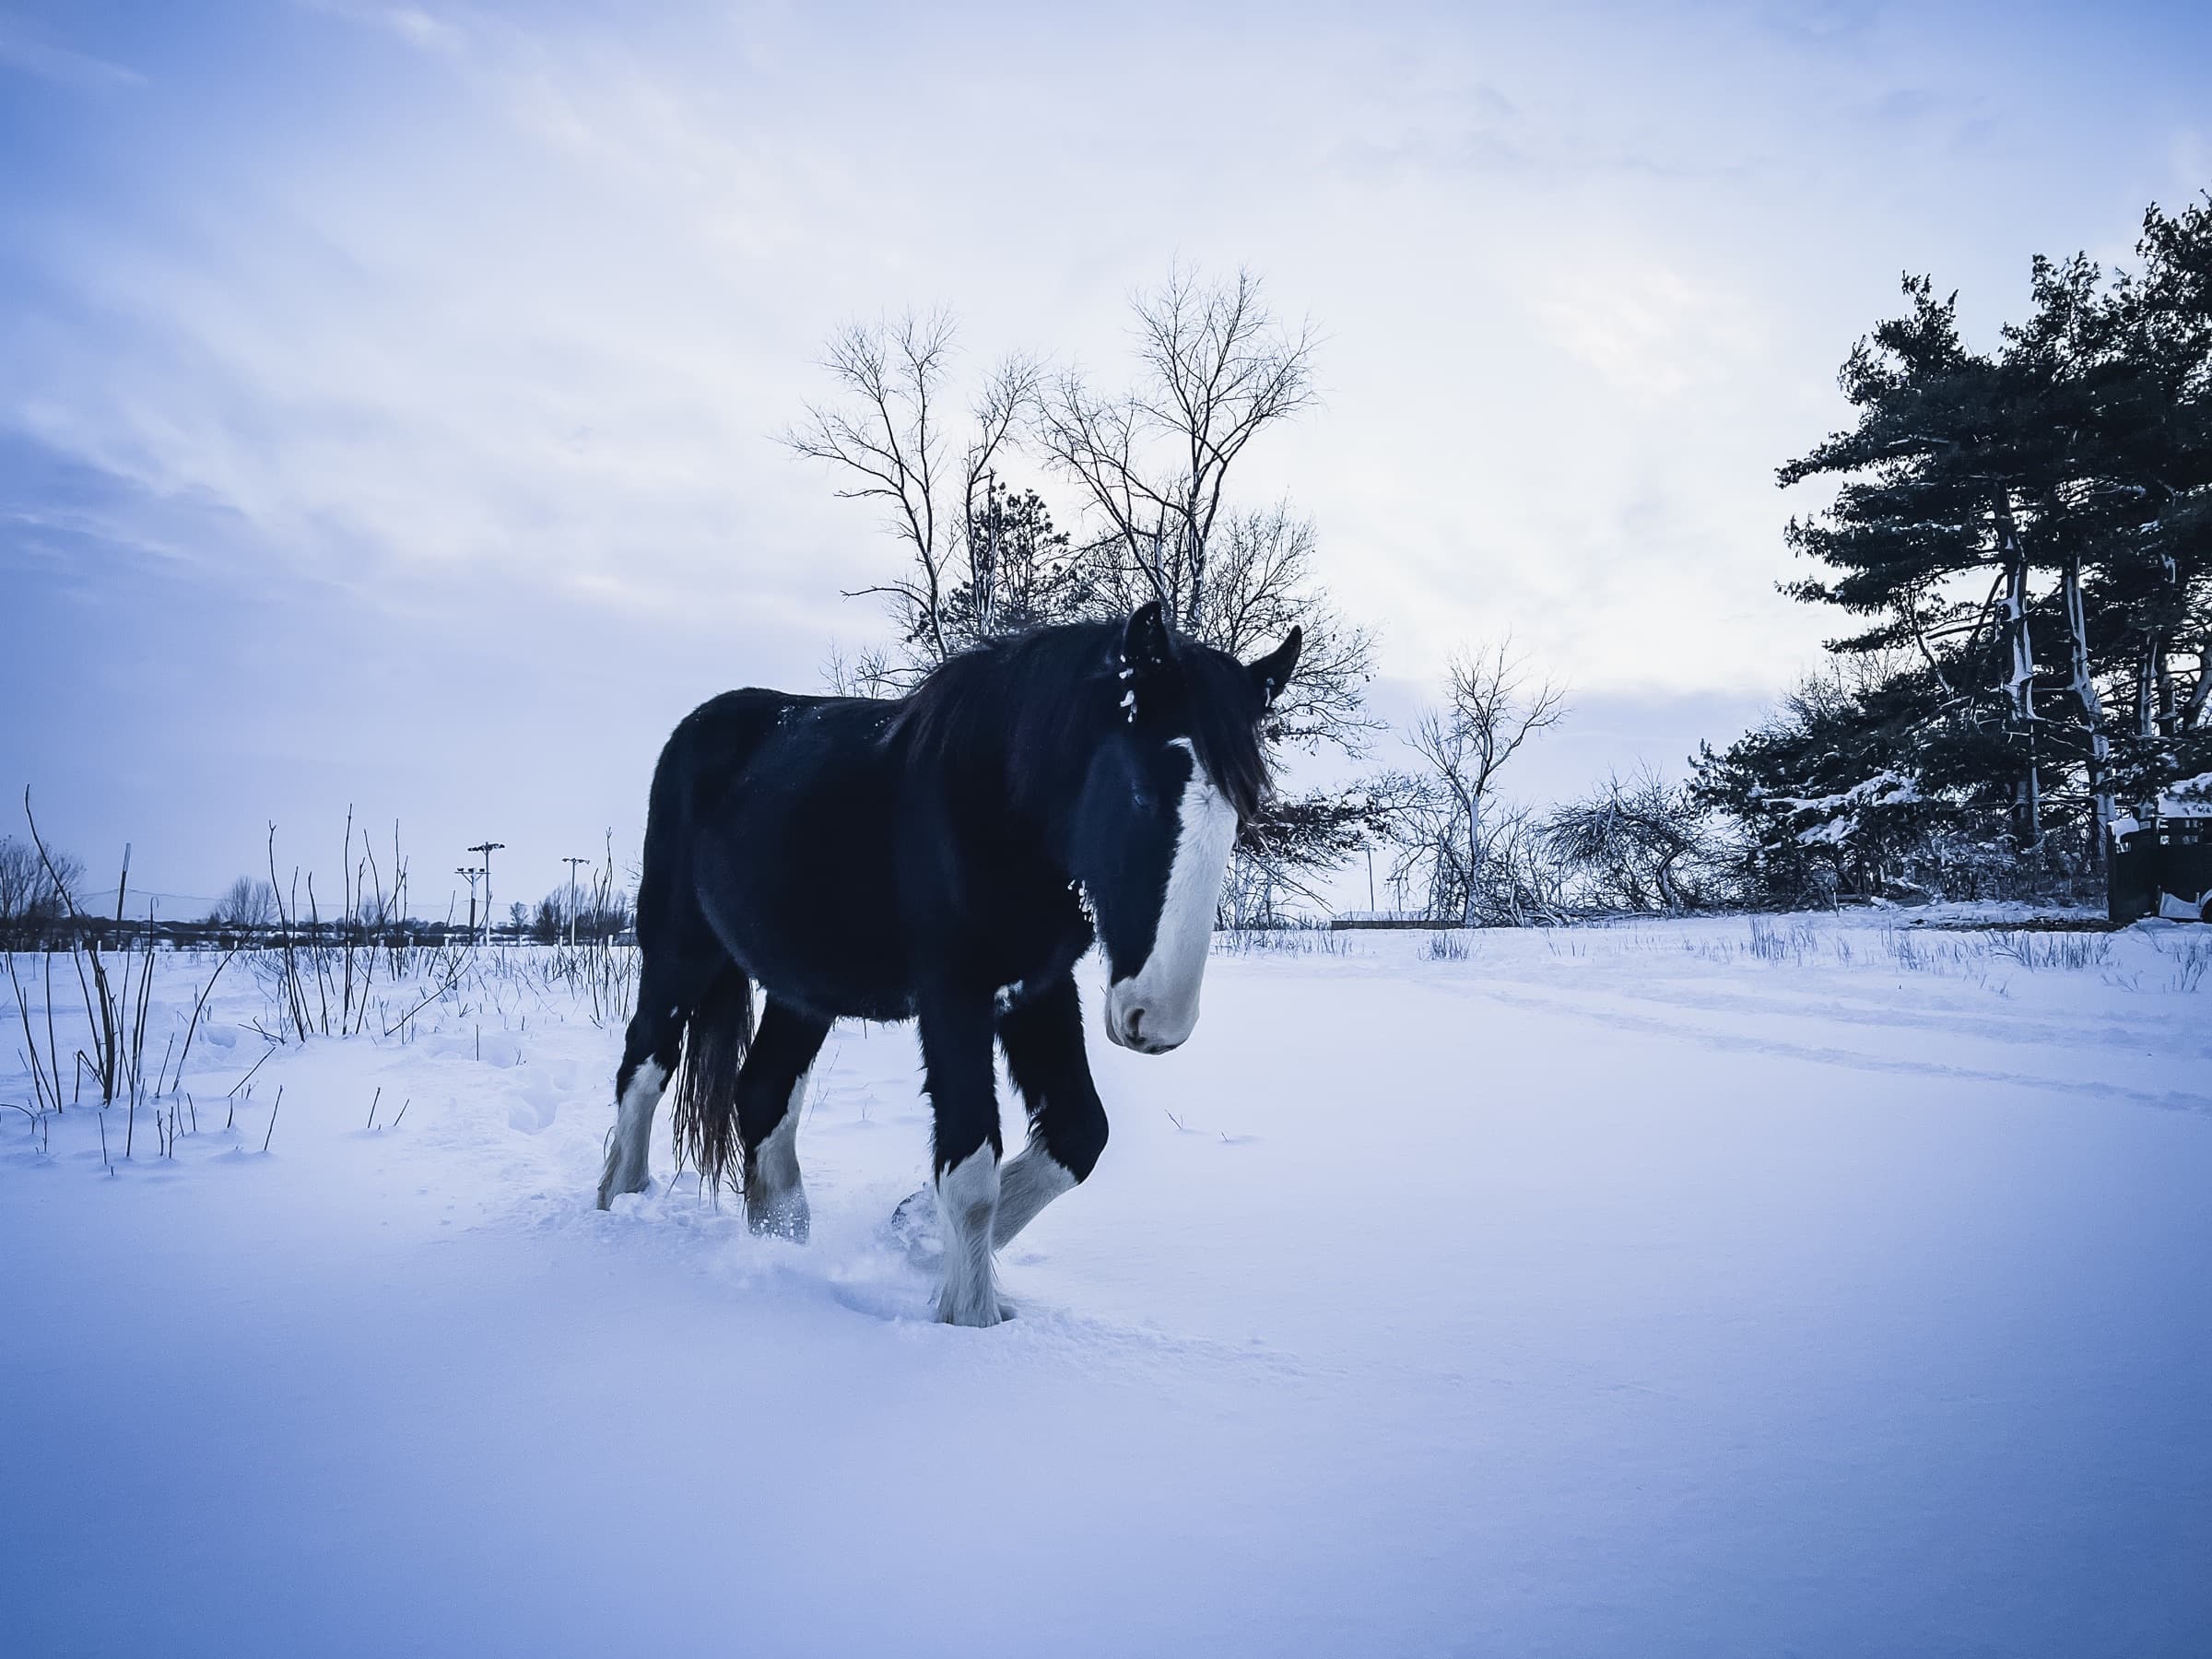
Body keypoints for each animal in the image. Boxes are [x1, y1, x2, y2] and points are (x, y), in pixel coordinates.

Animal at [596, 600, 1301, 1326]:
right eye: (1140, 792)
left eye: (1244, 811)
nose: (1157, 1019)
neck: (997, 807)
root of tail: (701, 725)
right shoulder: (953, 997)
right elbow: (970, 1174)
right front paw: (970, 1320)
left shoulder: (1036, 989)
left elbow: (1080, 1135)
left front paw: (911, 1232)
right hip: (680, 952)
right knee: (644, 1068)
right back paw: (620, 1208)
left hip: (804, 992)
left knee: (763, 1093)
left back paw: (783, 1245)